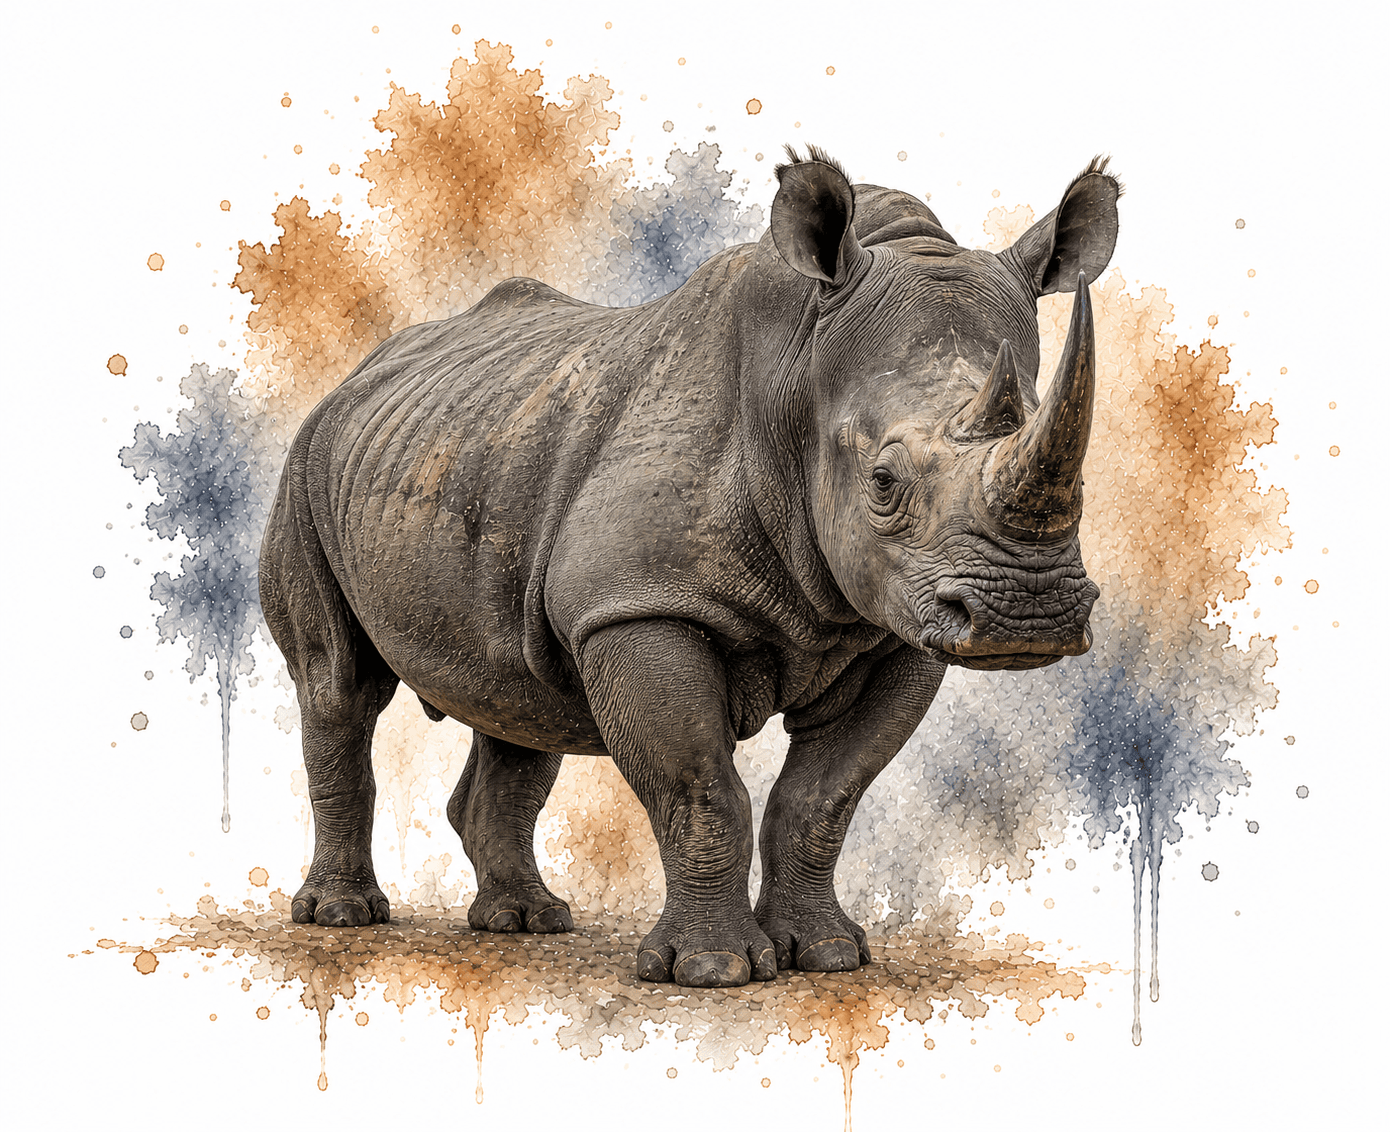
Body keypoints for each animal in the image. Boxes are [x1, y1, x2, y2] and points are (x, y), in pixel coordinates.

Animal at [260, 147, 1120, 988]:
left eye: (1085, 484)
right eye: (884, 481)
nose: (1026, 614)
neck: (801, 374)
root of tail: (362, 370)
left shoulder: (891, 627)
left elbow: (823, 798)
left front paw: (829, 956)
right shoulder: (638, 602)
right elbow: (701, 787)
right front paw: (711, 970)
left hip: (484, 441)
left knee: (518, 699)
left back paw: (526, 922)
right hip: (306, 468)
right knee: (339, 685)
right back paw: (344, 916)